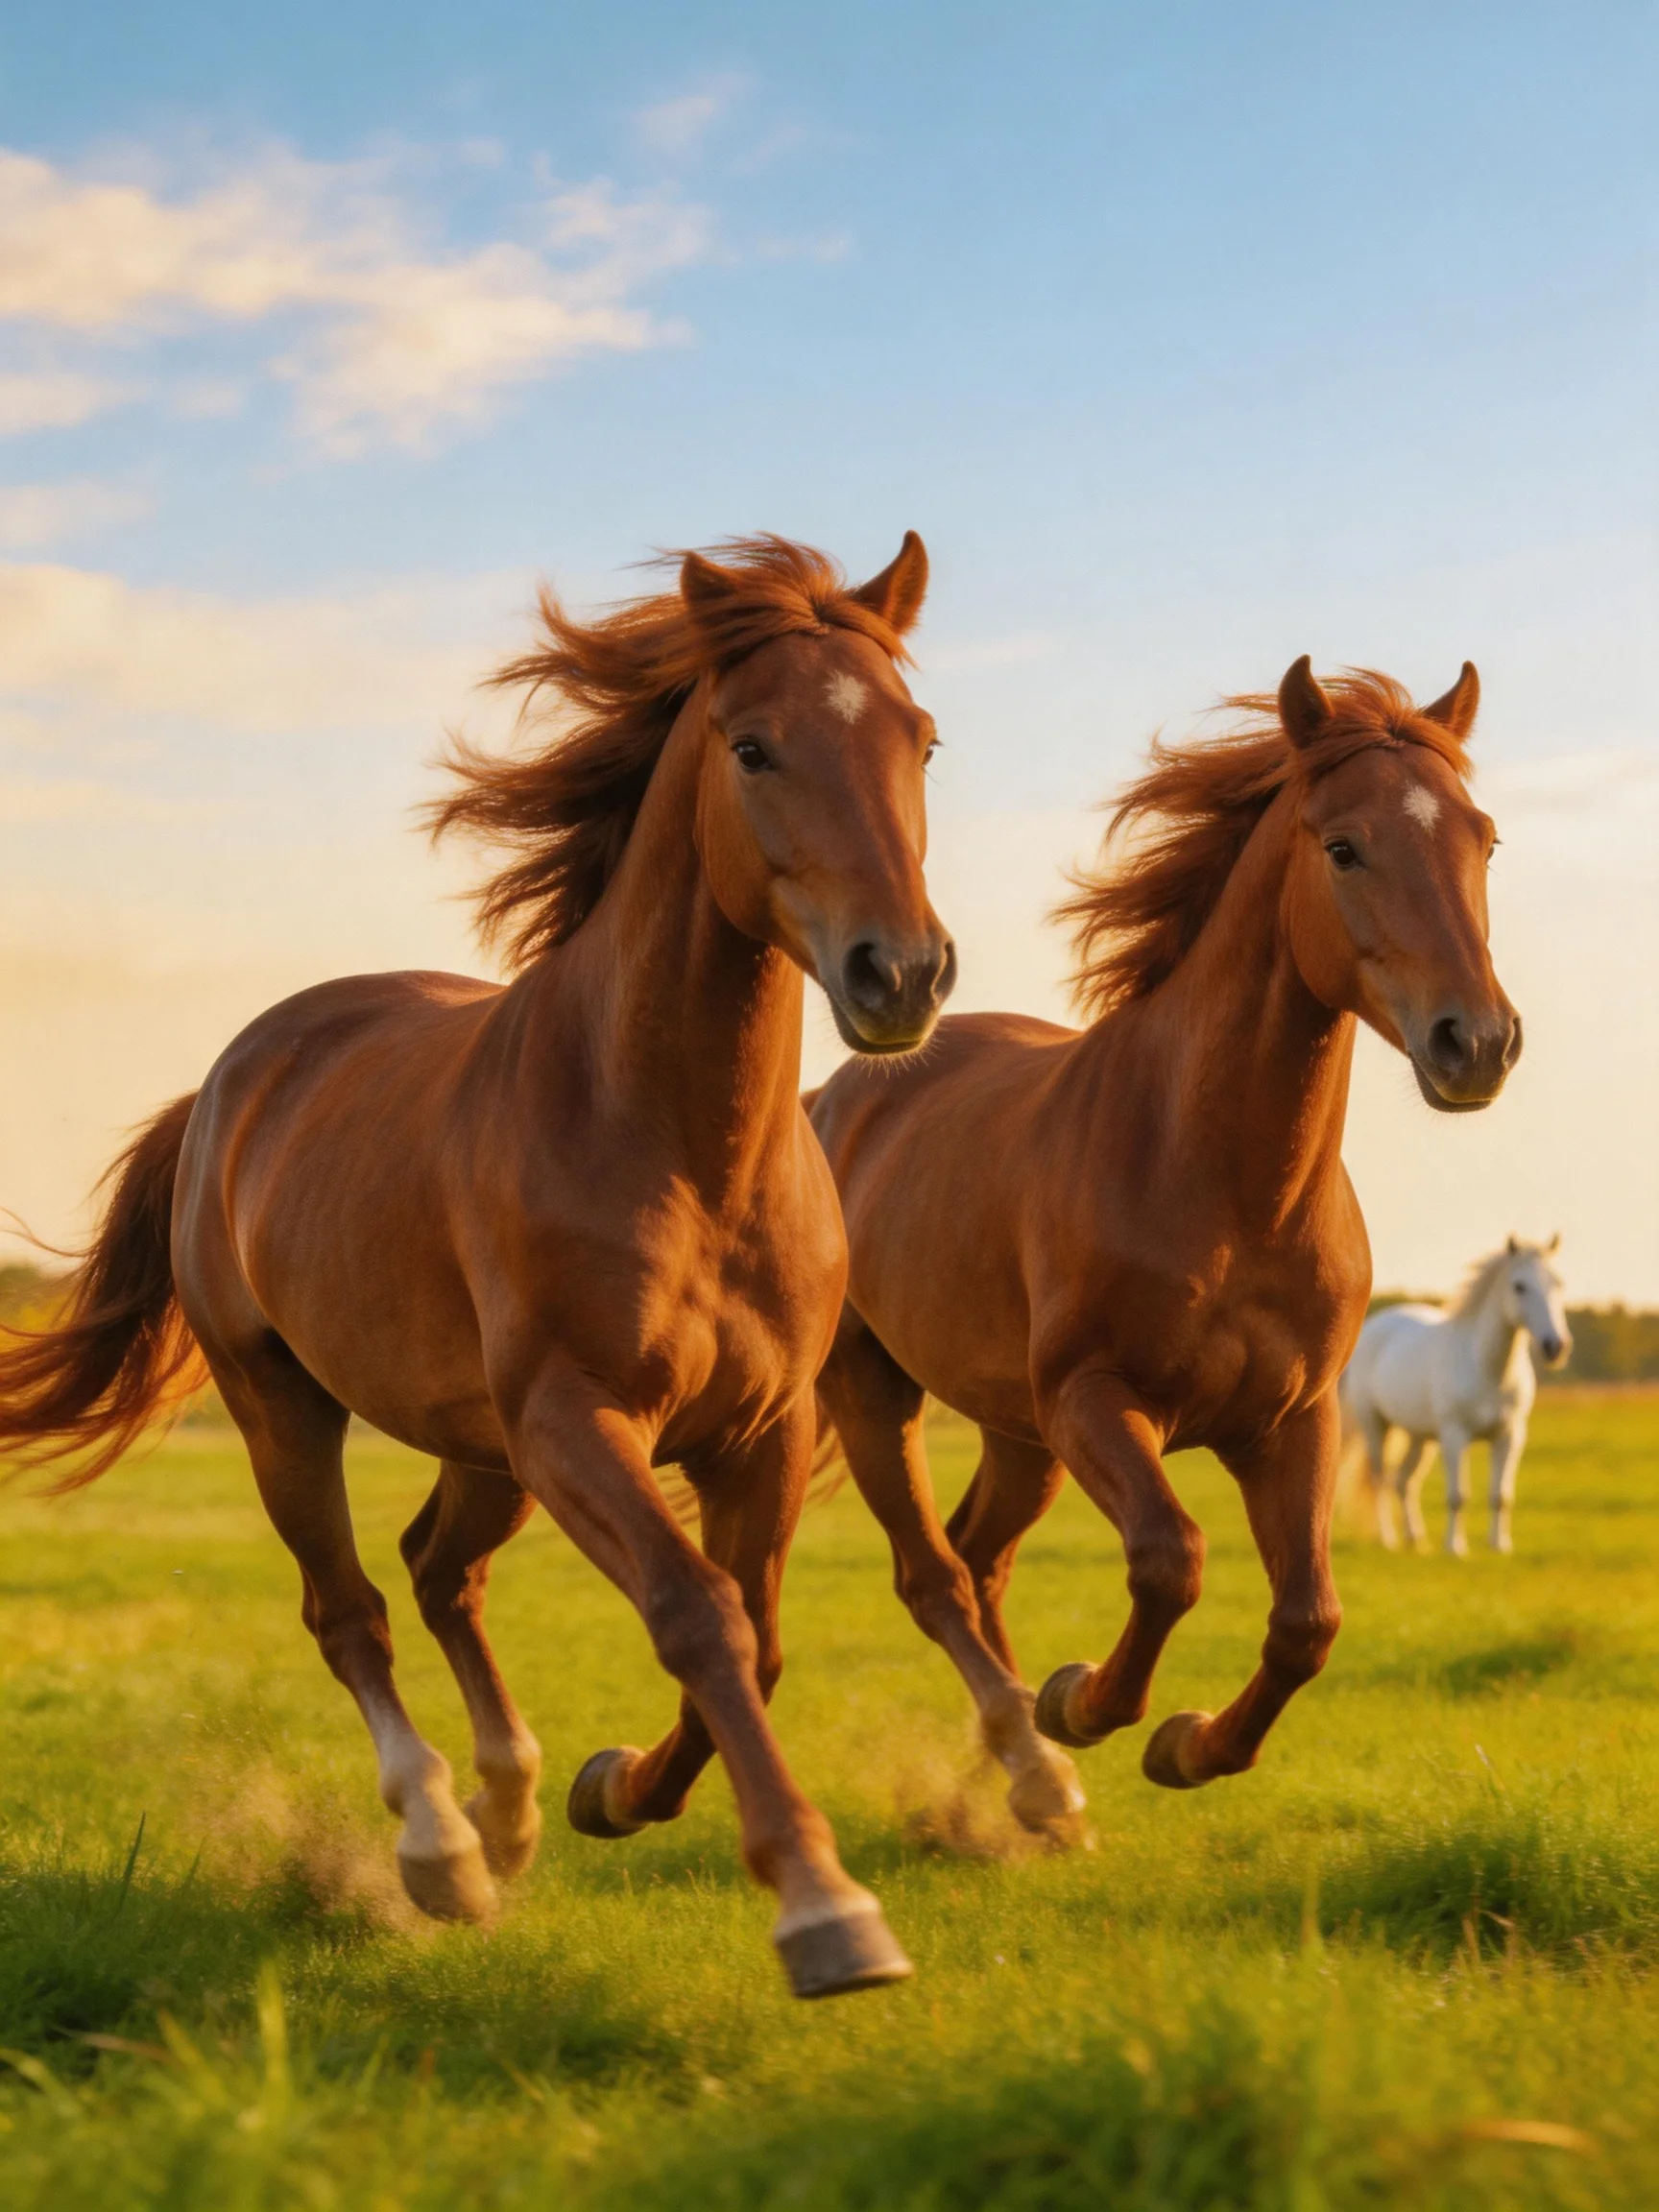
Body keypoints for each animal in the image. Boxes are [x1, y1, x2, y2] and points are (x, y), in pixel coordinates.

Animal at [0, 533, 956, 2001]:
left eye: (922, 737)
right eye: (752, 747)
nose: (899, 975)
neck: (676, 1146)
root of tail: (233, 1075)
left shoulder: (762, 1430)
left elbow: (760, 1635)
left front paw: (613, 1789)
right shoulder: (576, 1417)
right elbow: (699, 1616)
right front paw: (823, 1910)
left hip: (481, 1445)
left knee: (440, 1568)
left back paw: (510, 1812)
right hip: (289, 1407)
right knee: (351, 1609)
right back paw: (441, 1850)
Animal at [808, 658, 1519, 1834]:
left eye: (1484, 839)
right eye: (1344, 846)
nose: (1479, 1044)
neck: (1225, 1190)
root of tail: (831, 1099)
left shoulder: (1291, 1421)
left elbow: (1308, 1620)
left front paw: (1189, 1747)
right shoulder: (1097, 1398)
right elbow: (1170, 1559)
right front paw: (1087, 1703)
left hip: (1017, 1434)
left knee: (980, 1557)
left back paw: (1022, 1789)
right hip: (879, 1395)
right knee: (935, 1576)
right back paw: (1035, 1760)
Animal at [1340, 1237, 1570, 1555]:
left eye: (1559, 1283)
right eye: (1519, 1286)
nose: (1555, 1347)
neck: (1488, 1369)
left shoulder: (1510, 1435)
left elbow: (1501, 1495)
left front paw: (1500, 1545)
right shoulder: (1454, 1435)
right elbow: (1457, 1495)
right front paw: (1455, 1548)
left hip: (1419, 1437)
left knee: (1404, 1481)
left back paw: (1415, 1539)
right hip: (1375, 1425)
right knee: (1380, 1479)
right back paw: (1388, 1539)